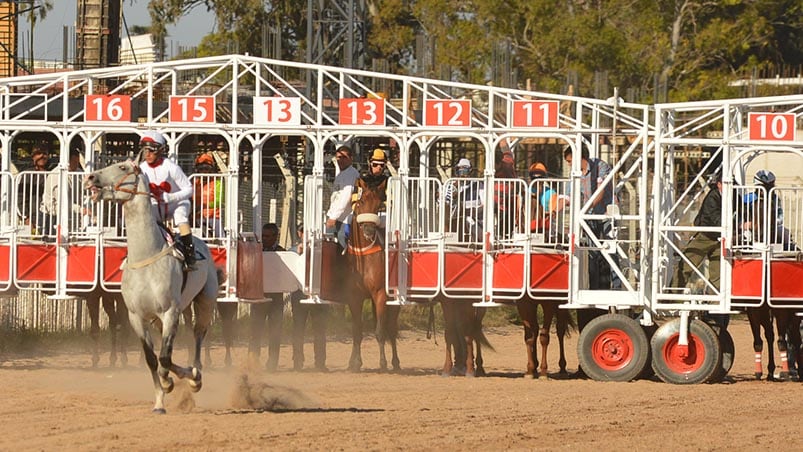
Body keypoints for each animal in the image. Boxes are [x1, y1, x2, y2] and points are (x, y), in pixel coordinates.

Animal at [84, 159, 221, 414]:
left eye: (123, 167)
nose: (90, 177)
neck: (146, 256)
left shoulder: (170, 312)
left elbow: (165, 356)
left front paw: (170, 382)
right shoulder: (137, 317)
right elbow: (153, 358)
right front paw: (159, 400)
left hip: (205, 301)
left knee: (198, 333)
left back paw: (195, 375)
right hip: (162, 318)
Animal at [340, 177, 400, 370]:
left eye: (379, 205)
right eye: (361, 202)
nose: (368, 230)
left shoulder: (380, 294)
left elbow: (380, 331)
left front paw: (382, 363)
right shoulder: (354, 297)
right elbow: (356, 330)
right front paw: (354, 362)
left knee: (391, 328)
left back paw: (395, 362)